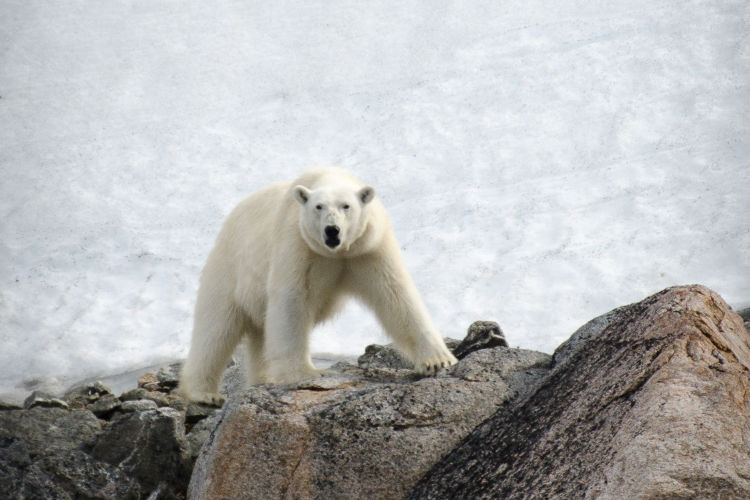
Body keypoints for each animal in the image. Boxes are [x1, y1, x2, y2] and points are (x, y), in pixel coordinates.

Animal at [179, 168, 458, 406]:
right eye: (318, 207)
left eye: (346, 206)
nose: (332, 230)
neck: (337, 253)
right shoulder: (298, 244)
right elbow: (291, 301)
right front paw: (304, 372)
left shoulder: (368, 248)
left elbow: (396, 295)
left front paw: (437, 361)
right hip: (229, 268)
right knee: (216, 329)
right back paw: (205, 394)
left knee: (259, 335)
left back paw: (265, 379)